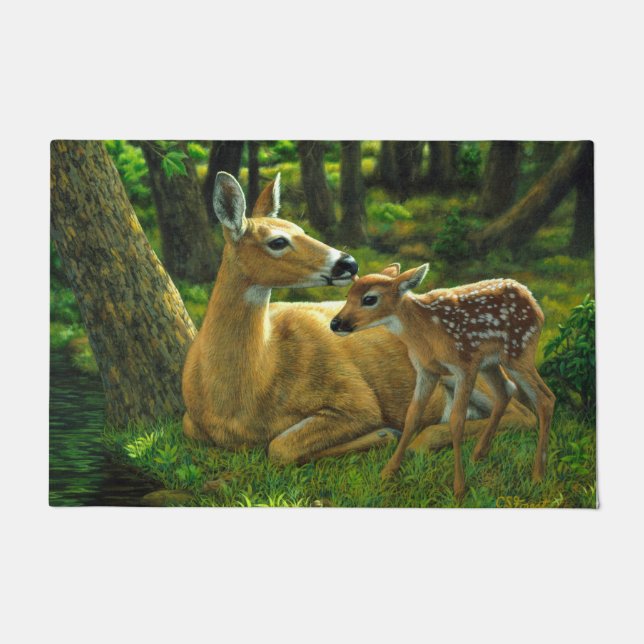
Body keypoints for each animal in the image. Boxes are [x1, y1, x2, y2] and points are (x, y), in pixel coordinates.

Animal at [182, 172, 534, 466]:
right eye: (278, 241)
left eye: (302, 230)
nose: (348, 263)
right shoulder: (190, 423)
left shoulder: (356, 398)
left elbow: (280, 447)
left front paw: (383, 433)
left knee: (521, 411)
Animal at [331, 263, 555, 500]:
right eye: (348, 295)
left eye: (369, 299)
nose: (335, 323)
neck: (425, 333)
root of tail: (533, 300)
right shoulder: (426, 370)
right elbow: (412, 416)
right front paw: (388, 471)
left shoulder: (464, 366)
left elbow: (456, 421)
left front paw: (459, 488)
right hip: (491, 362)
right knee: (505, 391)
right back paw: (478, 454)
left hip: (518, 351)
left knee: (545, 398)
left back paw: (538, 475)